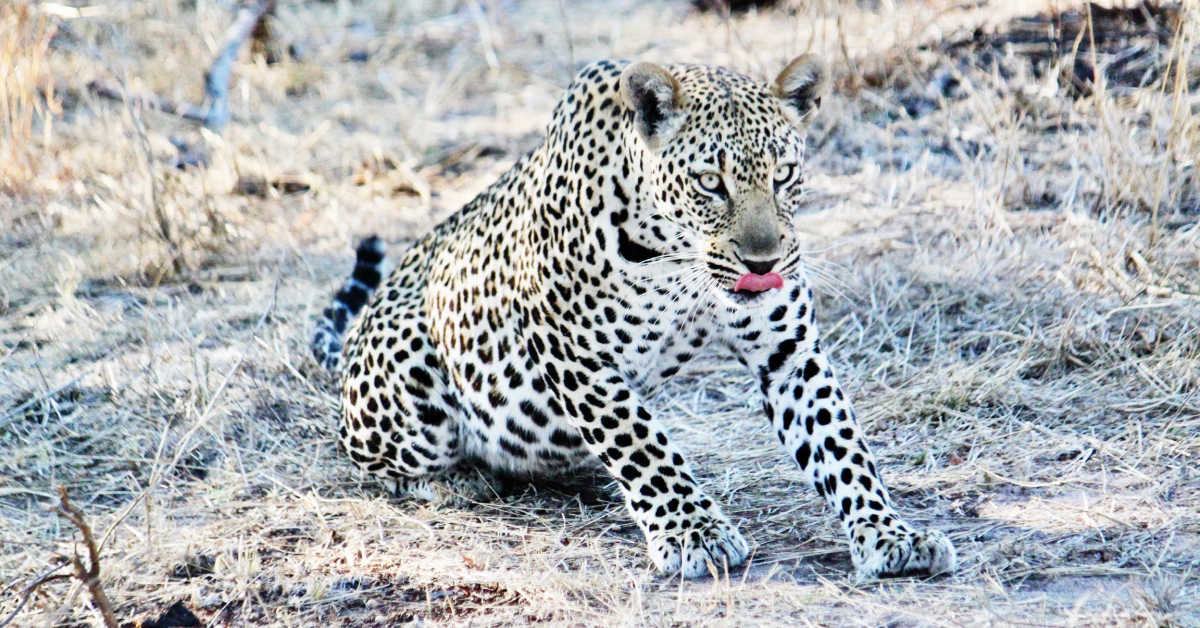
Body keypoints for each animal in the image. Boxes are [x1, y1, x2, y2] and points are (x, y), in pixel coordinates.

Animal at [311, 56, 957, 581]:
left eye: (783, 175)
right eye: (710, 182)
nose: (764, 262)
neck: (677, 257)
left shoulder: (789, 353)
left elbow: (843, 446)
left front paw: (890, 535)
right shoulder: (575, 355)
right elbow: (642, 443)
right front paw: (696, 534)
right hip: (412, 375)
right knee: (371, 460)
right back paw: (458, 478)